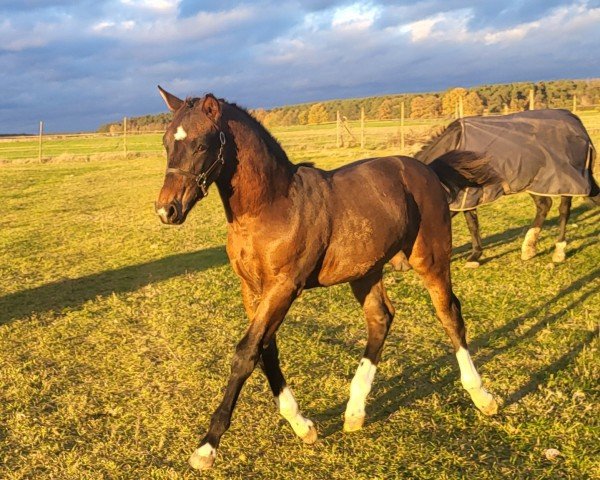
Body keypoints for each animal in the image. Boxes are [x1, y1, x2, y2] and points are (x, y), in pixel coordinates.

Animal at [154, 88, 496, 470]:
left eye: (200, 144)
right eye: (167, 143)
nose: (167, 210)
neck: (270, 206)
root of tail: (425, 168)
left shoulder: (285, 286)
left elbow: (246, 353)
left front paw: (207, 446)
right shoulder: (252, 289)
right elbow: (266, 350)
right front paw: (302, 425)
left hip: (431, 260)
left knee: (449, 314)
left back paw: (482, 396)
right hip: (365, 271)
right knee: (381, 319)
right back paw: (355, 411)